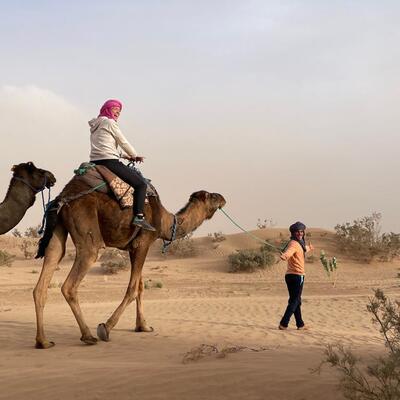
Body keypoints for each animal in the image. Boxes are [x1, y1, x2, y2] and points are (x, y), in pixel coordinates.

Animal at [33, 176, 226, 349]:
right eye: (211, 196)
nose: (223, 198)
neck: (165, 221)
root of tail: (61, 200)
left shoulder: (134, 248)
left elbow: (140, 287)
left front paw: (143, 326)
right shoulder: (142, 243)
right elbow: (133, 289)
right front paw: (105, 328)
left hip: (58, 231)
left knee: (47, 271)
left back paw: (43, 341)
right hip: (86, 232)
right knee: (72, 282)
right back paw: (87, 336)